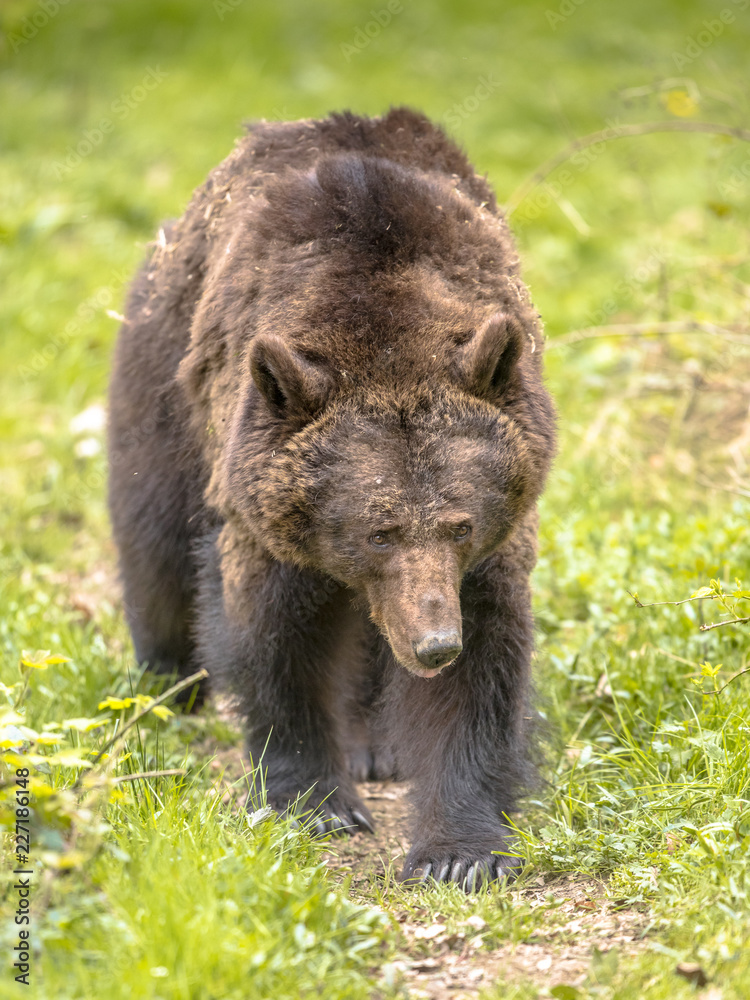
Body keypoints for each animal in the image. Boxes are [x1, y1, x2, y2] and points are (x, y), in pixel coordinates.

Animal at [111, 107, 560, 892]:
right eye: (379, 529)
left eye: (460, 523)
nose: (434, 642)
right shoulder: (264, 510)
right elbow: (275, 639)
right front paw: (314, 802)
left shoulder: (483, 551)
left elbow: (481, 671)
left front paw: (461, 850)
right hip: (164, 372)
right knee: (154, 532)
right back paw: (164, 679)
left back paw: (378, 741)